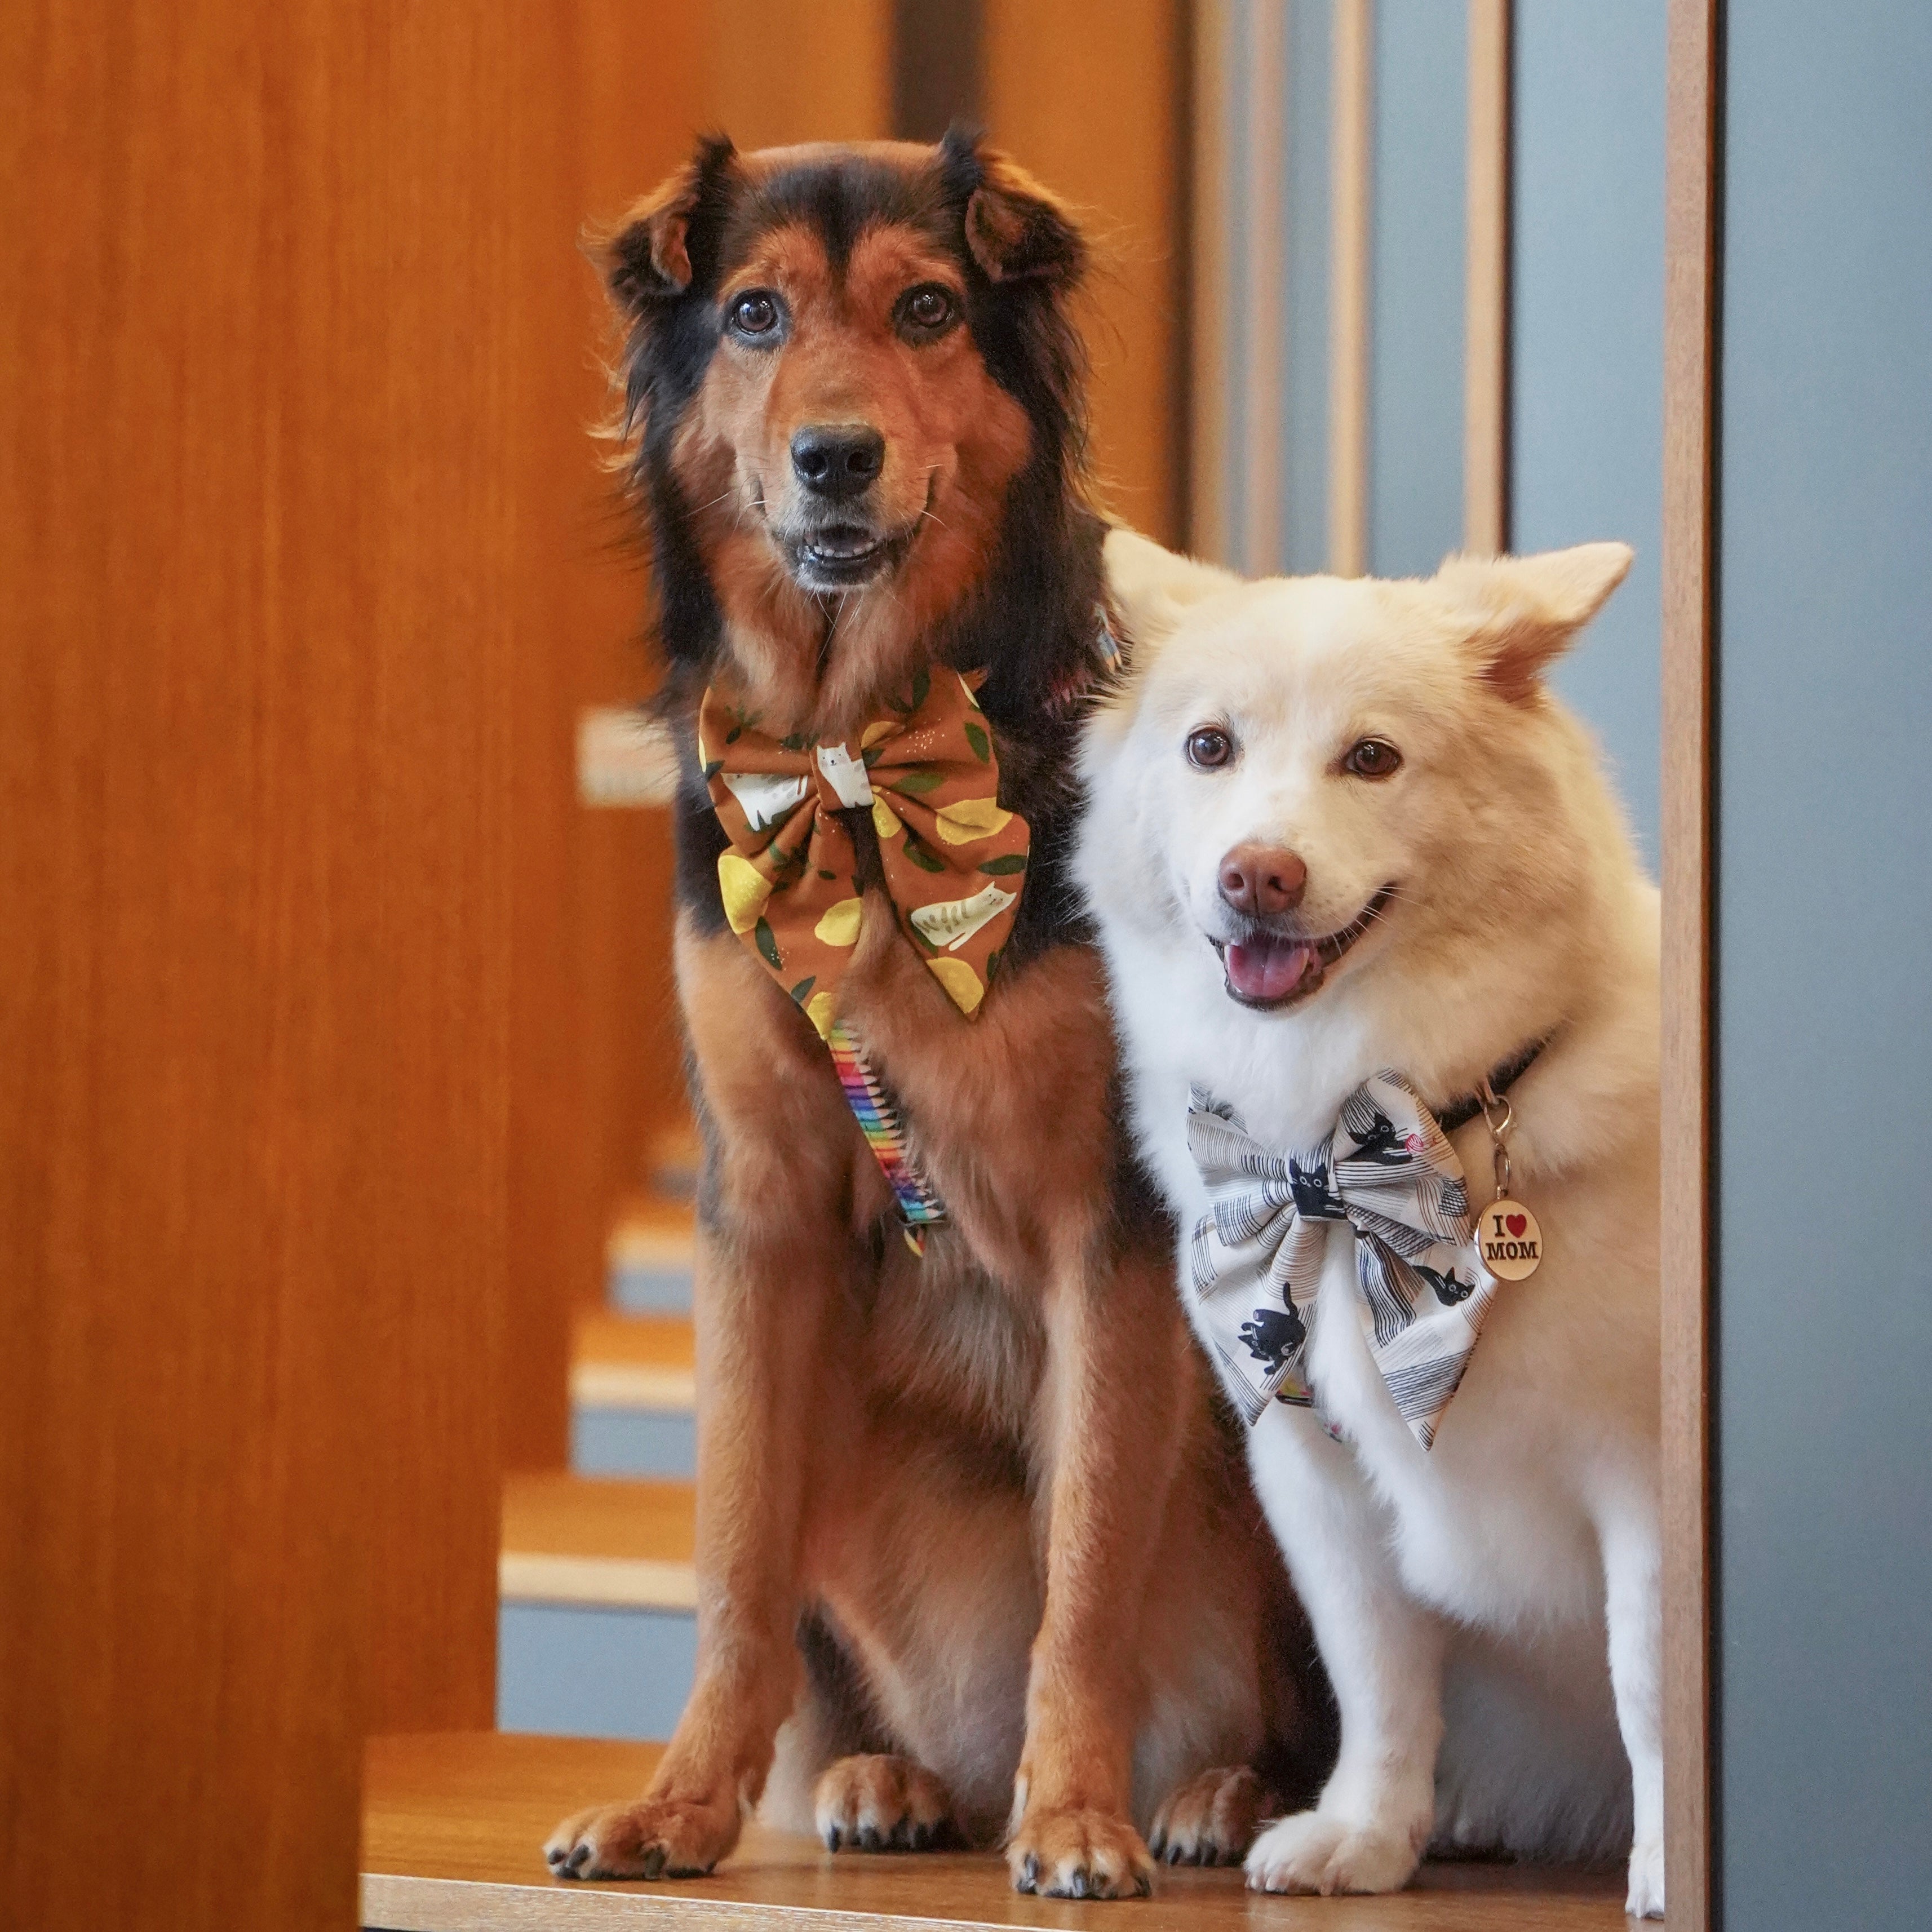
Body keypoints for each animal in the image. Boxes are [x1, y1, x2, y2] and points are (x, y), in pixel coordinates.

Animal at [544, 132, 1329, 1901]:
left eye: (925, 310)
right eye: (754, 313)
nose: (834, 457)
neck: (857, 755)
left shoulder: (1108, 1220)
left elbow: (1085, 1557)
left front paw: (1077, 1811)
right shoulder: (760, 1213)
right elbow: (733, 1553)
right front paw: (681, 1802)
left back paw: (1214, 1792)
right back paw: (894, 1775)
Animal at [1089, 529, 1661, 1916]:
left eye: (1371, 758)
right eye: (1208, 747)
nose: (1258, 873)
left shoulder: (1648, 1481)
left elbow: (1648, 1688)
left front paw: (1679, 1868)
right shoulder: (1319, 1476)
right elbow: (1380, 1675)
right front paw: (1366, 1831)